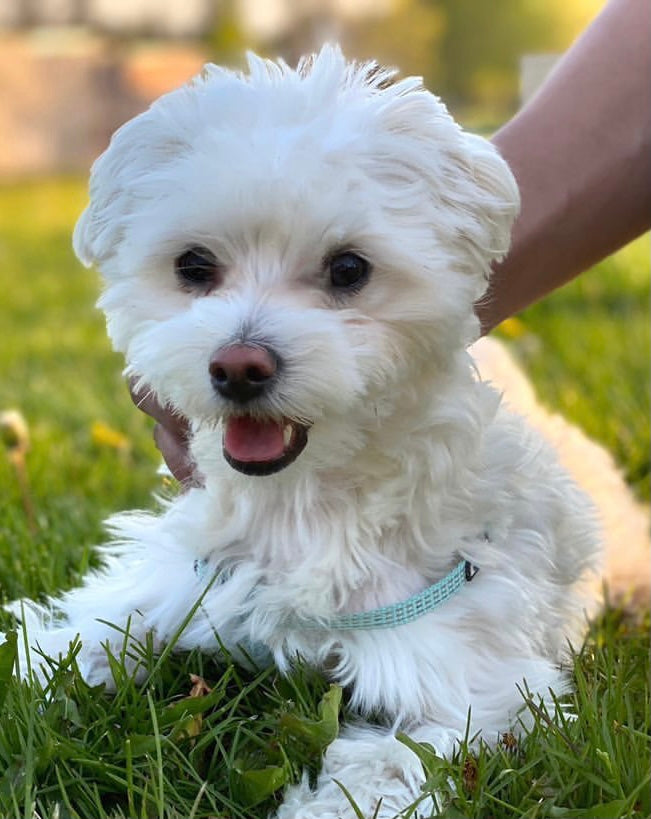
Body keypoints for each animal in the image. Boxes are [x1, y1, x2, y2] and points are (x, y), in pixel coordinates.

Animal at [12, 46, 600, 819]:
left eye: (349, 268)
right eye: (193, 265)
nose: (238, 366)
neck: (303, 500)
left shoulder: (477, 685)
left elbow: (390, 760)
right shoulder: (190, 577)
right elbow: (98, 629)